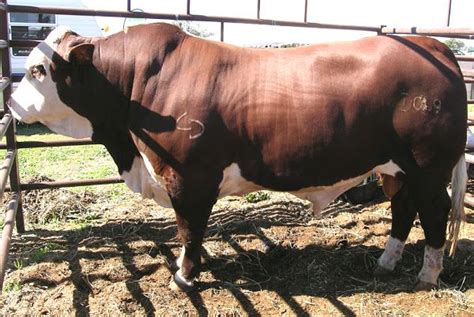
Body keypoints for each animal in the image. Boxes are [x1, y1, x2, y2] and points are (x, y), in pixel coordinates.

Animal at [7, 23, 466, 290]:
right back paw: (385, 263)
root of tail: (434, 46)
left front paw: (184, 276)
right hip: (398, 169)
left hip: (428, 166)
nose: (9, 99)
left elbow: (189, 229)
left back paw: (427, 274)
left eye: (37, 70)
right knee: (404, 208)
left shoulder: (189, 178)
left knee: (434, 212)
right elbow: (190, 231)